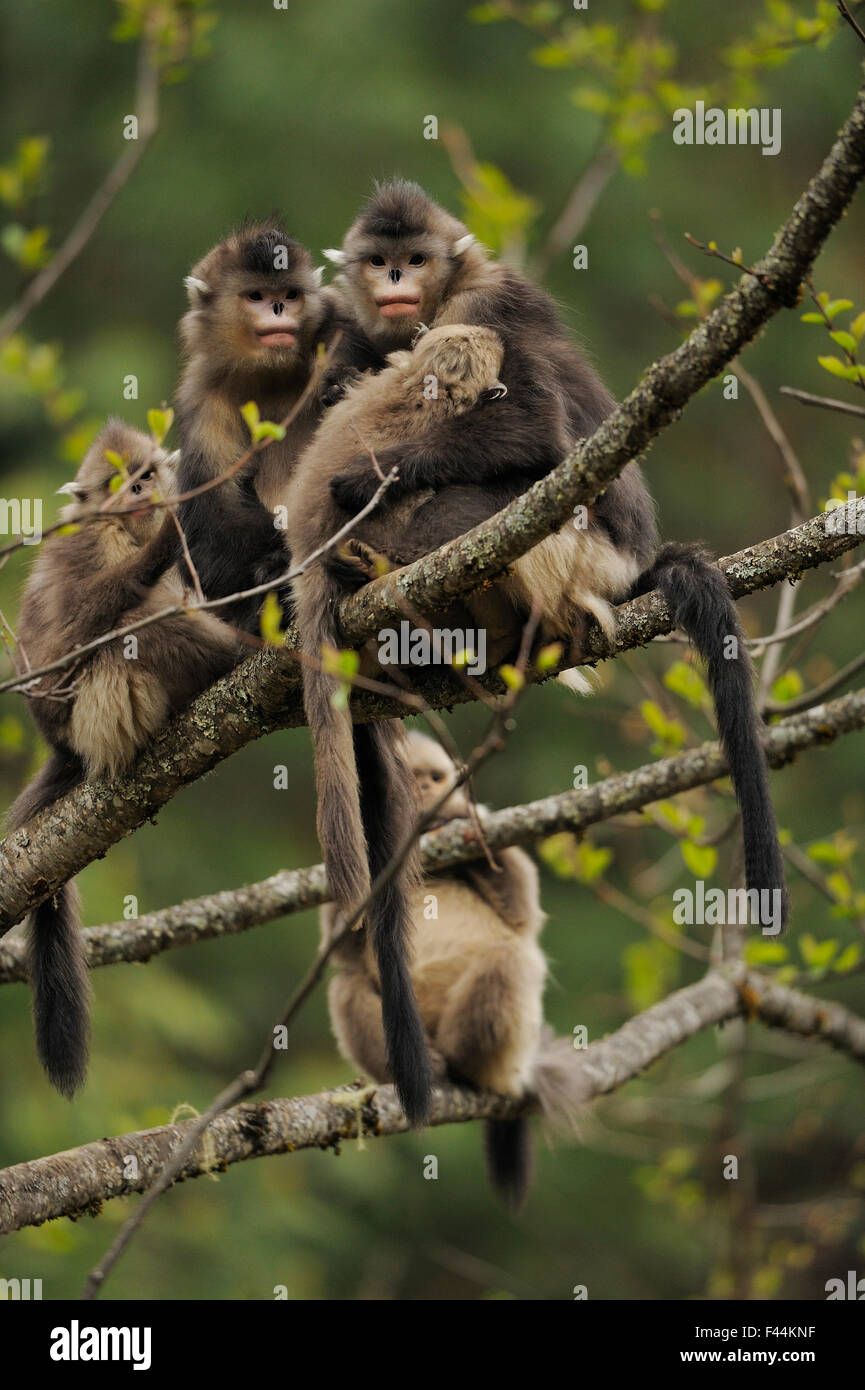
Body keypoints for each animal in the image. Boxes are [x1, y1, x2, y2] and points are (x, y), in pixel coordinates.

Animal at [6, 422, 250, 1095]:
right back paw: (235, 655)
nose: (143, 494)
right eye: (121, 483)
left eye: (146, 475)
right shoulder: (88, 547)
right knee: (134, 623)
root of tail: (63, 747)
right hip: (104, 706)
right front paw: (169, 539)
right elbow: (76, 633)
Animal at [177, 226, 332, 631]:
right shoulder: (203, 399)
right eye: (257, 296)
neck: (270, 377)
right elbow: (205, 541)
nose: (278, 308)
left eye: (290, 295)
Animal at [322, 728, 586, 1206]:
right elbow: (345, 943)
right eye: (414, 776)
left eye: (436, 777)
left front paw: (457, 817)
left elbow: (521, 911)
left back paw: (462, 1067)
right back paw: (426, 1066)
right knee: (347, 982)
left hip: (509, 1051)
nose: (425, 791)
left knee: (508, 958)